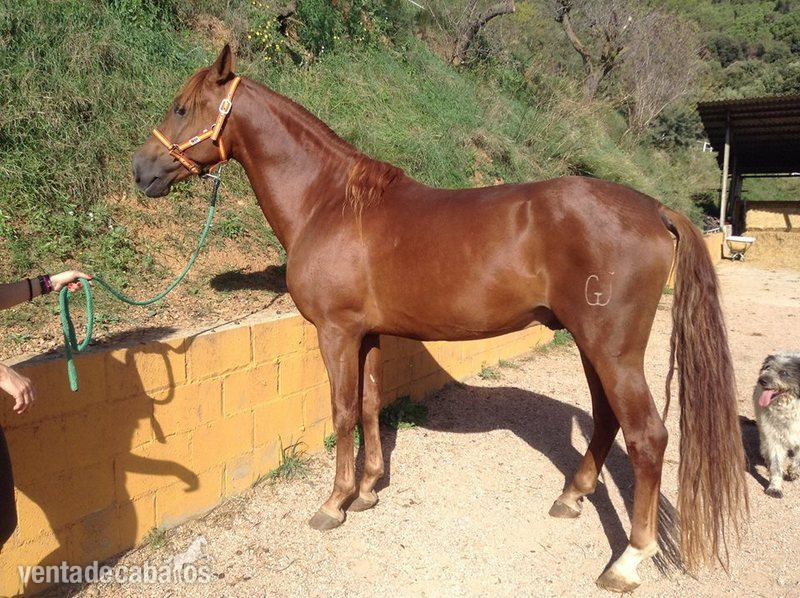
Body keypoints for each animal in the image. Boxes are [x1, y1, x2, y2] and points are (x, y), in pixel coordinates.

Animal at [132, 45, 747, 592]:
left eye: (181, 108)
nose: (141, 171)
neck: (330, 203)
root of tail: (656, 209)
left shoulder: (336, 333)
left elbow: (342, 413)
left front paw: (334, 503)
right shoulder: (368, 334)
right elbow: (371, 406)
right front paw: (369, 490)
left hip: (611, 349)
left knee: (647, 436)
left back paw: (627, 561)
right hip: (591, 346)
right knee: (605, 419)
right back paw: (571, 497)